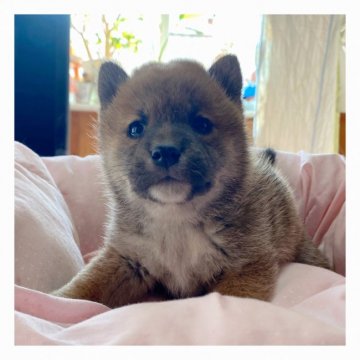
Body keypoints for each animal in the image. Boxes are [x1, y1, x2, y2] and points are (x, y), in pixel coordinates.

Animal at [52, 54, 330, 308]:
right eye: (136, 128)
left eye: (202, 124)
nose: (166, 152)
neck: (176, 223)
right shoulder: (125, 258)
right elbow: (83, 287)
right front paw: (56, 299)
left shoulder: (245, 265)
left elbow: (231, 298)